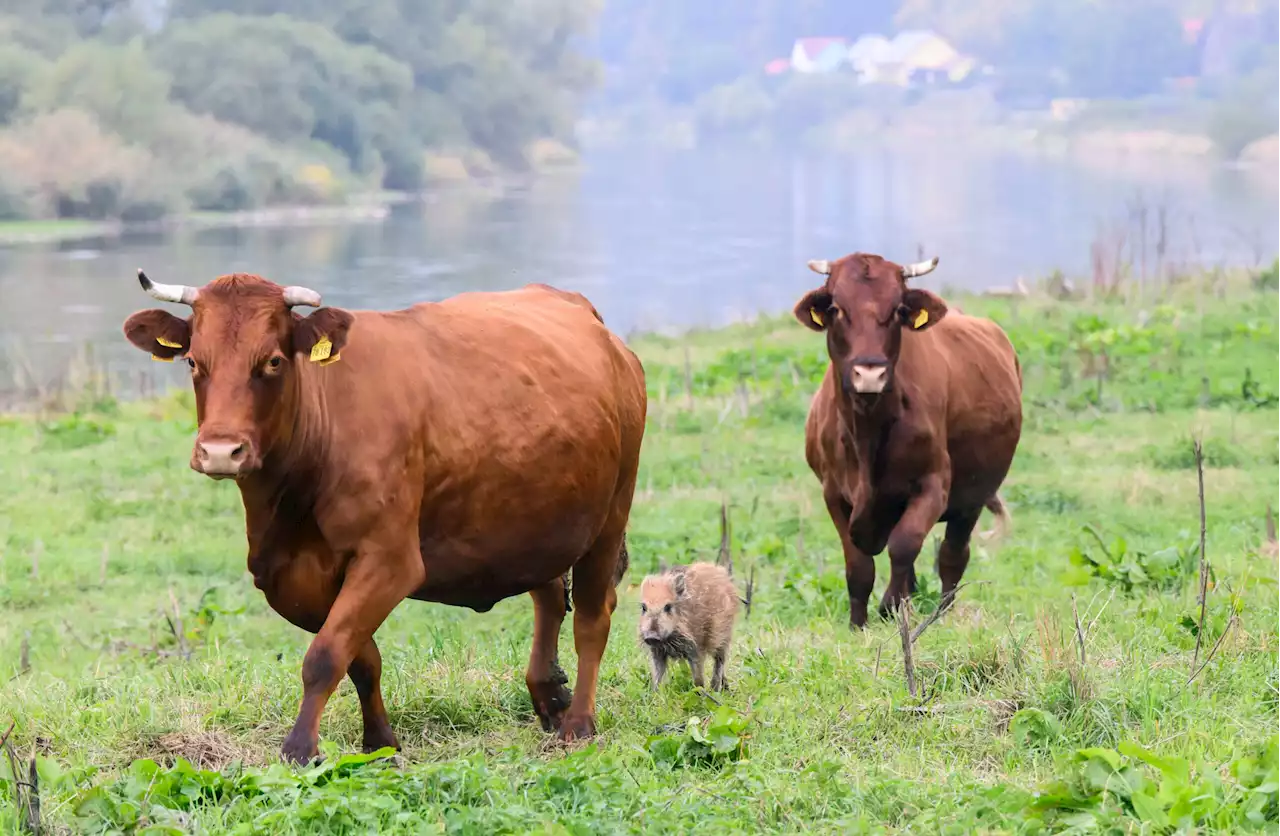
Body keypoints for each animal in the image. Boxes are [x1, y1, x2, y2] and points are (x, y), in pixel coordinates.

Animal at [120, 272, 650, 763]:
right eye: (194, 361)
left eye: (272, 360)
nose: (220, 451)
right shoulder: (286, 574)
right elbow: (360, 657)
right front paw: (379, 742)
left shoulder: (390, 559)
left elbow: (325, 655)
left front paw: (300, 748)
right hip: (537, 520)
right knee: (549, 594)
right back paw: (549, 693)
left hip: (611, 513)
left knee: (592, 617)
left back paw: (578, 723)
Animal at [793, 252, 1024, 624]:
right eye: (837, 308)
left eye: (898, 309)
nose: (869, 372)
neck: (867, 433)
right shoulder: (833, 492)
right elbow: (858, 565)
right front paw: (857, 624)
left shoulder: (934, 483)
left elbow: (904, 545)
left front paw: (891, 606)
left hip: (973, 496)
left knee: (952, 555)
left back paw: (941, 613)